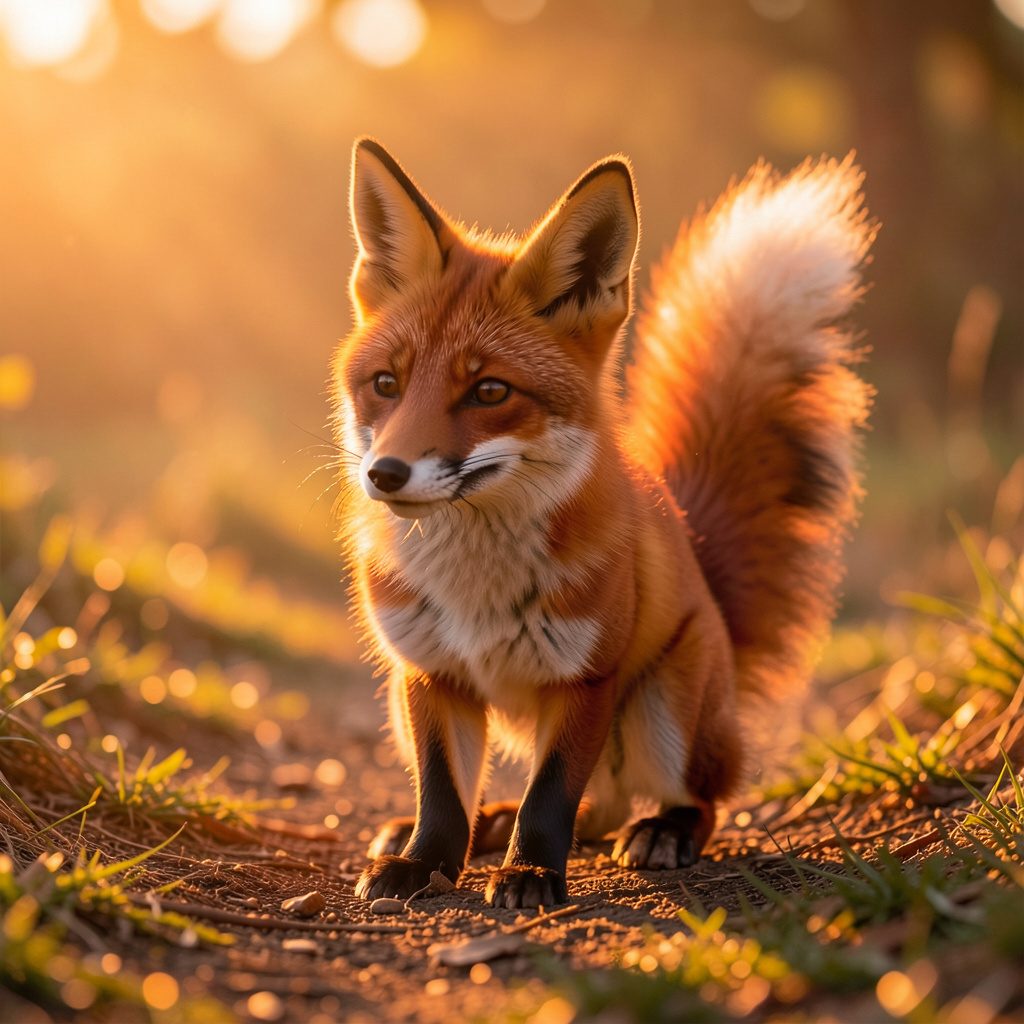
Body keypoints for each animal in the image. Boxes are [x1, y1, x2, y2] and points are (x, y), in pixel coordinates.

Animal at [331, 137, 875, 909]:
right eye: (386, 384)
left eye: (489, 391)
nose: (385, 474)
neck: (475, 587)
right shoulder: (429, 674)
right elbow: (441, 796)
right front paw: (425, 862)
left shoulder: (586, 678)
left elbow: (551, 798)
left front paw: (531, 872)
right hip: (404, 704)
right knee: (594, 804)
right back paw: (480, 825)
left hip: (664, 714)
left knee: (688, 799)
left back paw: (663, 833)